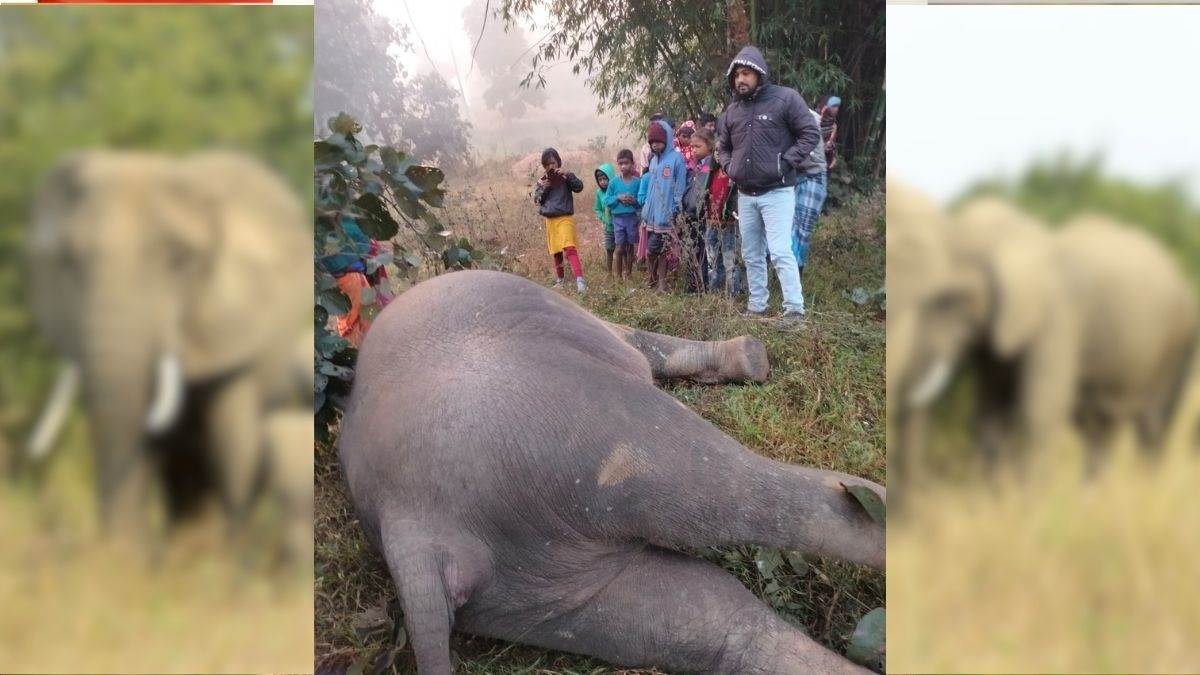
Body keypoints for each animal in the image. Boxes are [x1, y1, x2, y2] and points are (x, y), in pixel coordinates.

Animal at [337, 269, 885, 675]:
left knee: (701, 617)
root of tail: (409, 527)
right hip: (586, 431)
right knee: (737, 498)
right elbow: (642, 345)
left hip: (531, 591)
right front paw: (754, 358)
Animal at [887, 181, 1199, 484]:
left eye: (951, 299)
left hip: (1178, 341)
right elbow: (990, 413)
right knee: (1101, 428)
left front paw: (1026, 499)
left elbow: (1038, 412)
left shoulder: (1057, 321)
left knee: (1152, 425)